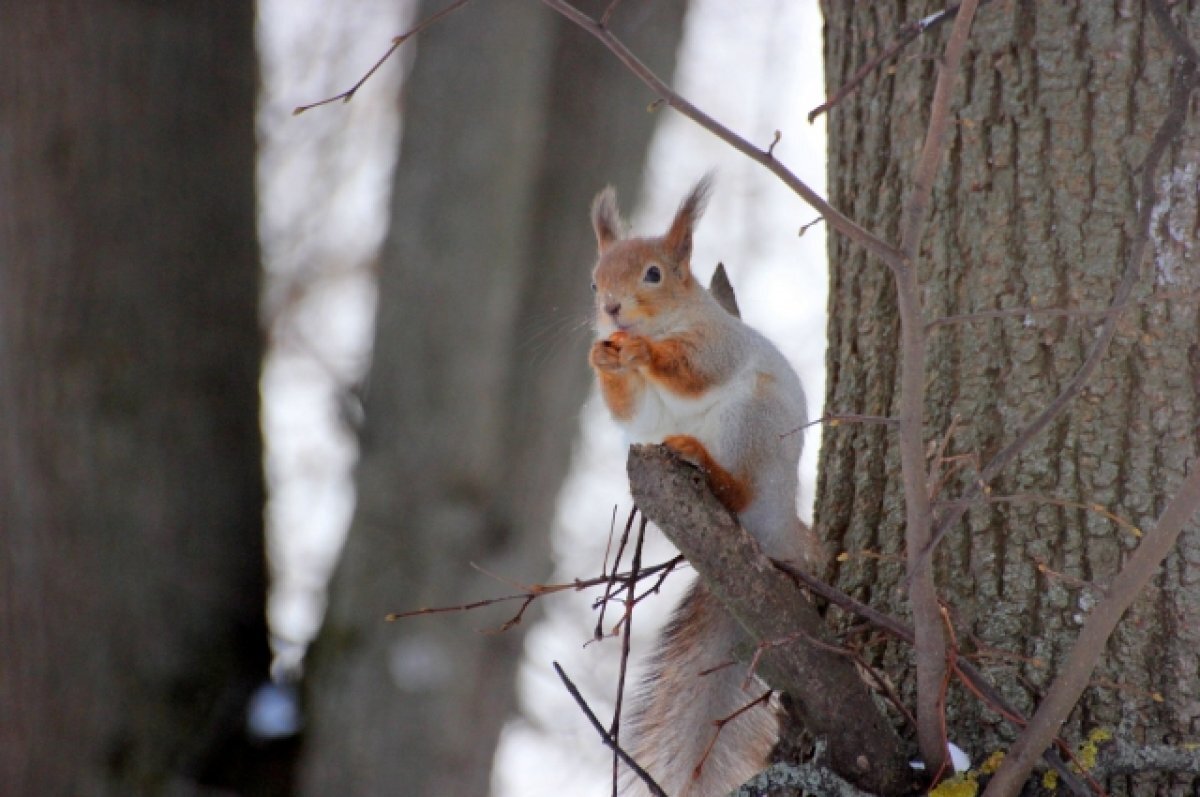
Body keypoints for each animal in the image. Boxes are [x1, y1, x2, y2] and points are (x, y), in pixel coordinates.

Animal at [588, 177, 816, 792]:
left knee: (737, 485)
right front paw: (601, 357)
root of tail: (777, 521)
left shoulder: (717, 344)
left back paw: (705, 464)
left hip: (752, 420)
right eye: (593, 280)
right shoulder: (639, 411)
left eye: (653, 274)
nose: (610, 310)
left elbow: (692, 369)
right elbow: (633, 412)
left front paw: (643, 352)